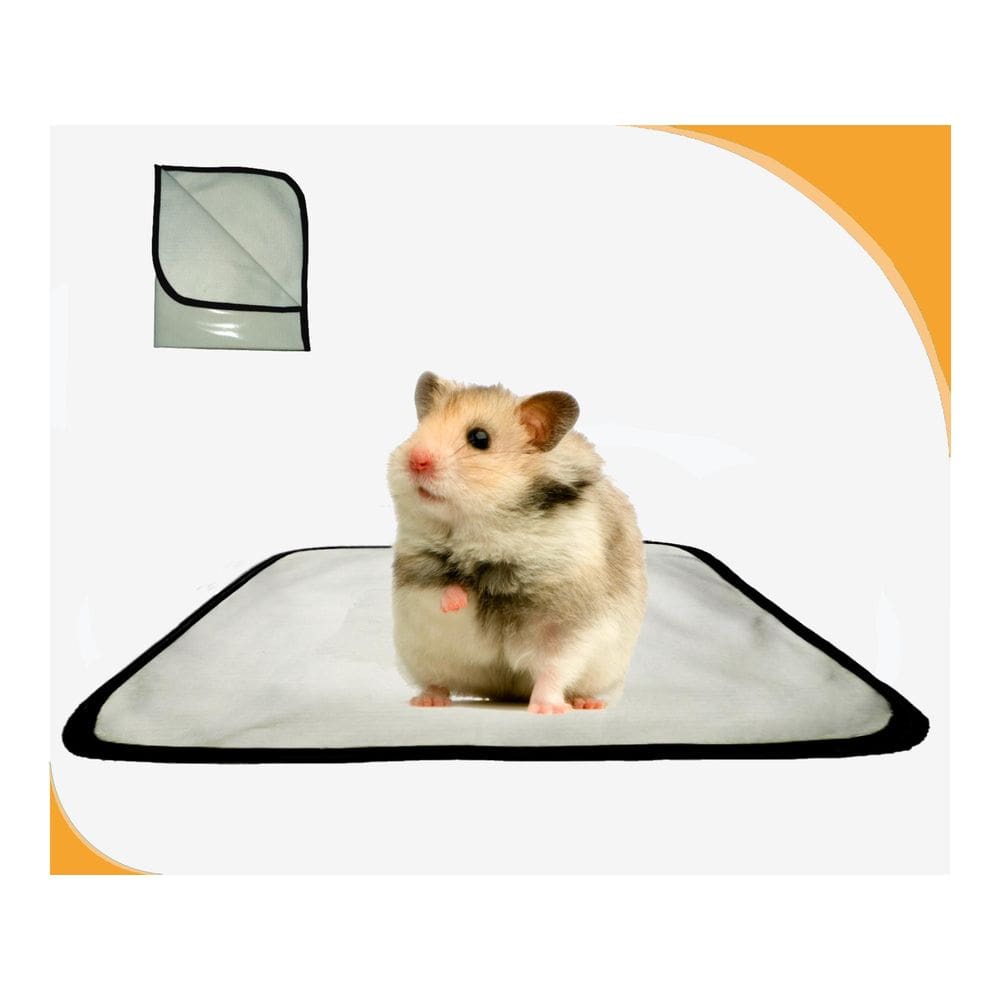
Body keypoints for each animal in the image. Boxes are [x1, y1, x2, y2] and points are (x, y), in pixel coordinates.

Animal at [387, 372, 648, 714]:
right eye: (419, 428)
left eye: (480, 438)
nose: (416, 461)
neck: (485, 529)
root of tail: (502, 692)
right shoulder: (416, 575)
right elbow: (441, 590)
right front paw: (459, 598)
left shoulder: (565, 624)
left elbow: (554, 669)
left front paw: (547, 710)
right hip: (422, 655)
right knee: (436, 679)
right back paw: (428, 701)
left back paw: (586, 704)